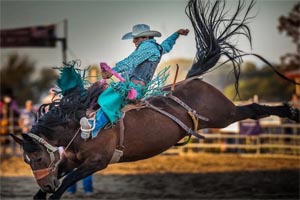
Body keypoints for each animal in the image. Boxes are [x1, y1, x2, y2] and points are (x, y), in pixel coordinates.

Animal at [10, 0, 298, 200]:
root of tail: (194, 80)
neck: (76, 128)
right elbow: (49, 188)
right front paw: (44, 190)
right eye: (26, 160)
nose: (46, 183)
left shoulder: (97, 162)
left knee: (253, 109)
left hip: (224, 115)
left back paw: (289, 112)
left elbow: (64, 186)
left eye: (37, 158)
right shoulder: (69, 160)